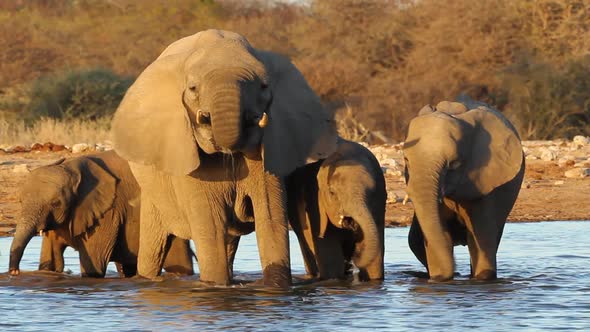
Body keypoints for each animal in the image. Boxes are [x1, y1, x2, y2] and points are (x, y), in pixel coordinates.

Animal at [8, 150, 194, 278]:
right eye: (20, 201)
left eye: (56, 203)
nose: (15, 272)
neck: (72, 168)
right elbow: (51, 264)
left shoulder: (107, 212)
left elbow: (93, 268)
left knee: (178, 264)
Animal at [110, 29, 338, 286]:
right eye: (192, 88)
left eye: (264, 86)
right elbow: (210, 224)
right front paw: (215, 286)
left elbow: (270, 218)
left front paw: (275, 287)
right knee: (155, 243)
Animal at [288, 139, 388, 282]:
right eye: (332, 193)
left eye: (372, 191)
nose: (355, 255)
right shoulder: (315, 203)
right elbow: (332, 261)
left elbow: (375, 262)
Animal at [402, 101, 528, 280]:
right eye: (406, 160)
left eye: (453, 164)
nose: (454, 270)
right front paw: (439, 277)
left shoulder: (487, 184)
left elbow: (480, 236)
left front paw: (482, 277)